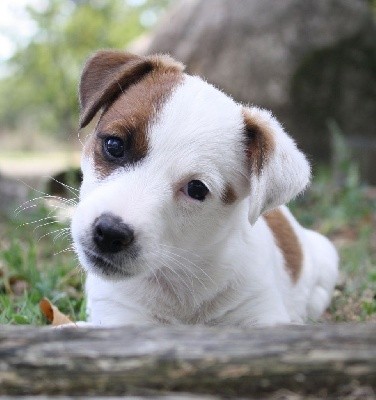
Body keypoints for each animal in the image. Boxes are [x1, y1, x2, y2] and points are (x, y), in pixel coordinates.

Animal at [70, 50, 338, 326]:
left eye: (196, 189)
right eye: (114, 145)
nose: (110, 232)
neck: (181, 275)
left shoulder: (262, 313)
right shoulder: (118, 315)